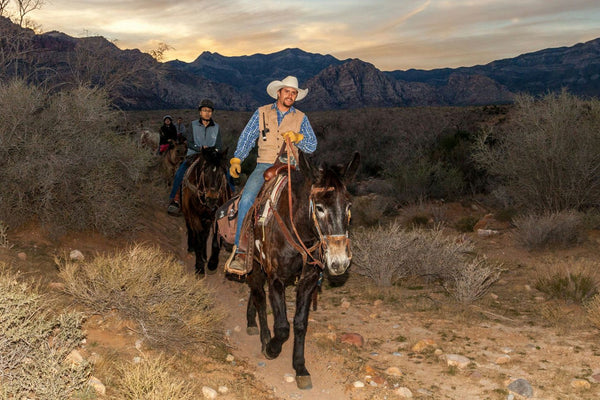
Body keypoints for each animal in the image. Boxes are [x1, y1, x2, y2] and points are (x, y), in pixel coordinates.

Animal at [180, 147, 230, 276]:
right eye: (205, 170)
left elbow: (215, 241)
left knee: (205, 234)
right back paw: (191, 247)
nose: (212, 198)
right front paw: (199, 267)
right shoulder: (194, 216)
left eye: (222, 171)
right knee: (191, 230)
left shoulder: (217, 217)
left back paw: (204, 255)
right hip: (188, 214)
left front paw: (212, 263)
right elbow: (198, 240)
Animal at [245, 149, 360, 388]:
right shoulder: (276, 279)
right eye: (319, 207)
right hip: (255, 266)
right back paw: (263, 337)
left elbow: (300, 324)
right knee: (259, 297)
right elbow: (282, 326)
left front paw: (300, 367)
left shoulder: (308, 281)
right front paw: (272, 348)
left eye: (348, 206)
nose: (339, 262)